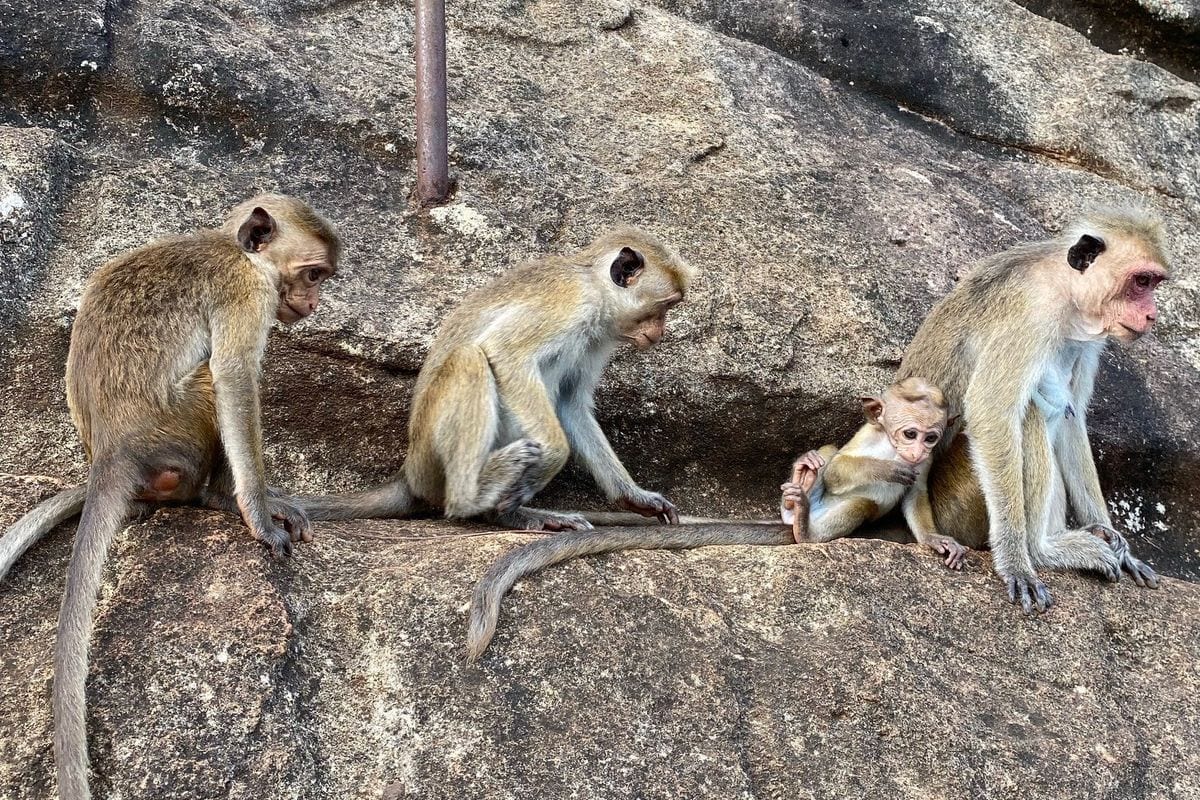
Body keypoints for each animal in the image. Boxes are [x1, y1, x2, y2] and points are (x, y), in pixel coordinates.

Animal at [0, 193, 339, 800]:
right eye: (313, 274)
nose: (314, 302)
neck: (240, 253)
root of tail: (110, 454)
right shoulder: (247, 297)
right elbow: (234, 378)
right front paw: (259, 513)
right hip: (174, 432)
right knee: (211, 383)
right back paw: (218, 498)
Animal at [295, 227, 695, 532]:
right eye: (664, 307)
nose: (660, 334)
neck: (595, 289)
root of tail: (409, 474)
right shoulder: (570, 304)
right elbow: (506, 354)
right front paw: (553, 455)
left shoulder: (596, 339)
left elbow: (571, 404)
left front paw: (634, 496)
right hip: (432, 460)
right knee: (470, 360)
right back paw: (474, 498)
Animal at [779, 377, 966, 569]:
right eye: (910, 434)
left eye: (930, 438)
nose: (918, 452)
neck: (893, 447)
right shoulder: (867, 434)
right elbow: (833, 471)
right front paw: (885, 469)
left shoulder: (926, 461)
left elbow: (916, 492)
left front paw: (933, 538)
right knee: (833, 458)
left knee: (862, 505)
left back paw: (801, 517)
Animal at [897, 207, 1166, 614]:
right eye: (1141, 281)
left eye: (1153, 283)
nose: (1151, 315)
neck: (1065, 289)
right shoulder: (1029, 313)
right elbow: (991, 412)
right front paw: (1015, 562)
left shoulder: (1089, 338)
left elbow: (1074, 418)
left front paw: (1122, 548)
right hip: (957, 507)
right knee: (1028, 415)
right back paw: (1043, 550)